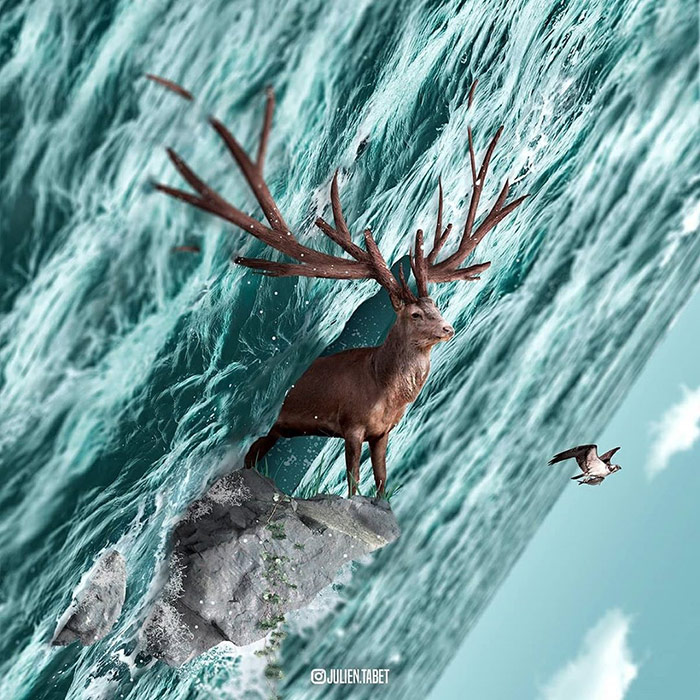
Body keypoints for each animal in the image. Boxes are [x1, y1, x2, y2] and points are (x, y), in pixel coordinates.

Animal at [147, 74, 527, 497]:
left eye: (437, 305)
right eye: (415, 313)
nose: (448, 328)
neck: (385, 390)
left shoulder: (383, 432)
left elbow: (382, 481)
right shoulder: (352, 426)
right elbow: (354, 482)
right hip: (274, 425)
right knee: (251, 454)